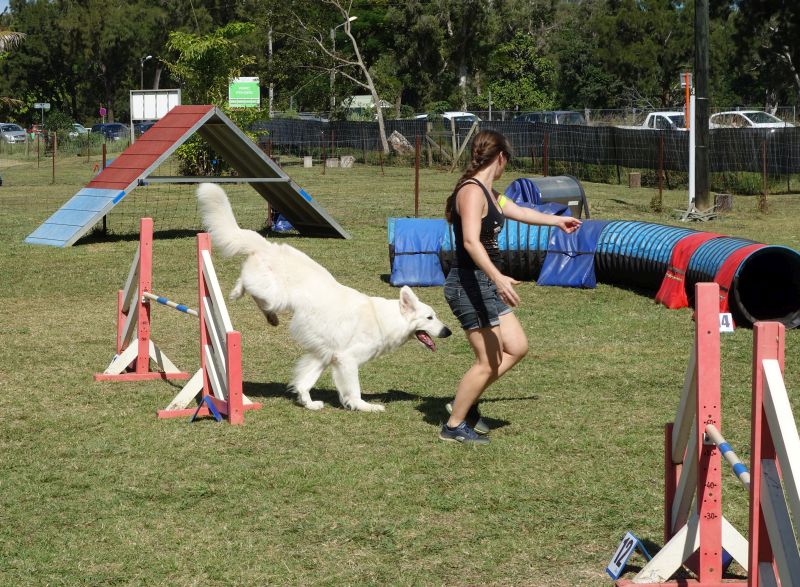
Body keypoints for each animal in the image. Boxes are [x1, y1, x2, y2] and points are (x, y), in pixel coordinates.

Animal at [195, 184, 450, 414]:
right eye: (430, 317)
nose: (448, 331)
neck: (385, 319)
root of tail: (269, 246)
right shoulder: (347, 360)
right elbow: (353, 390)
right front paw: (364, 406)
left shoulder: (324, 354)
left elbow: (305, 380)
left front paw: (307, 402)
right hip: (273, 295)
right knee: (248, 281)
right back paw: (243, 297)